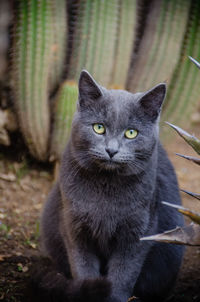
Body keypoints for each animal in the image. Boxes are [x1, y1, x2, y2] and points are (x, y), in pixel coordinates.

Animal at [37, 71, 184, 302]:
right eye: (99, 128)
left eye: (131, 133)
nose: (111, 150)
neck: (106, 185)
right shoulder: (74, 228)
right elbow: (83, 267)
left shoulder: (137, 233)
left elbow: (124, 274)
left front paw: (113, 296)